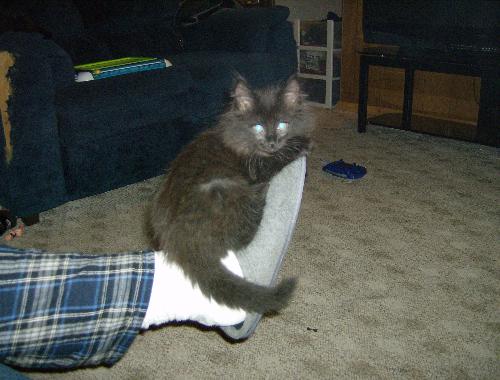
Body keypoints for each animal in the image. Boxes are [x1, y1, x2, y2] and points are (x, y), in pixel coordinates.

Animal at [149, 75, 312, 314]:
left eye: (282, 124)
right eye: (258, 126)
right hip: (228, 190)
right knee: (240, 239)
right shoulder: (257, 167)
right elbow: (279, 157)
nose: (272, 142)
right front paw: (303, 143)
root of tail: (179, 241)